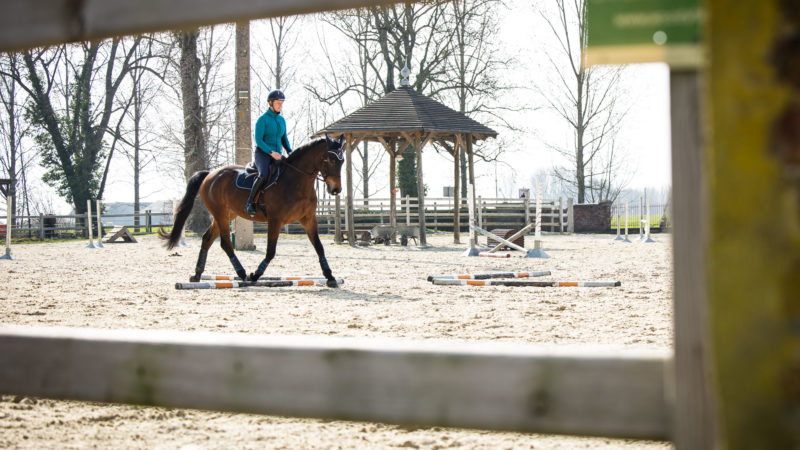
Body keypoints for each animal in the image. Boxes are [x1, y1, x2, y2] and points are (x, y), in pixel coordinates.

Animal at [161, 134, 346, 288]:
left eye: (342, 161)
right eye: (329, 159)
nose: (335, 189)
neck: (296, 182)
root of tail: (210, 174)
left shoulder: (308, 219)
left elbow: (319, 247)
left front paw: (330, 277)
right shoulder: (275, 220)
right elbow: (270, 251)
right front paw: (255, 275)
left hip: (226, 215)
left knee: (207, 239)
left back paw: (197, 274)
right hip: (220, 214)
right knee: (225, 243)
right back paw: (242, 273)